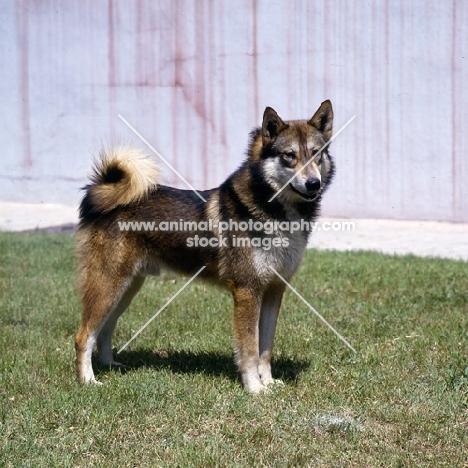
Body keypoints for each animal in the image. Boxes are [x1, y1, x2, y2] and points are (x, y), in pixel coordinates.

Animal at [75, 100, 334, 394]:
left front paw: (268, 382)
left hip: (127, 287)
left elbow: (265, 349)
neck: (274, 211)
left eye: (316, 153)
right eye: (289, 155)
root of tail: (100, 194)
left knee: (105, 329)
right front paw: (254, 388)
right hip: (108, 285)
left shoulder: (274, 291)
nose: (314, 183)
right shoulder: (247, 291)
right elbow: (249, 349)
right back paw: (88, 380)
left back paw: (109, 366)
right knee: (84, 335)